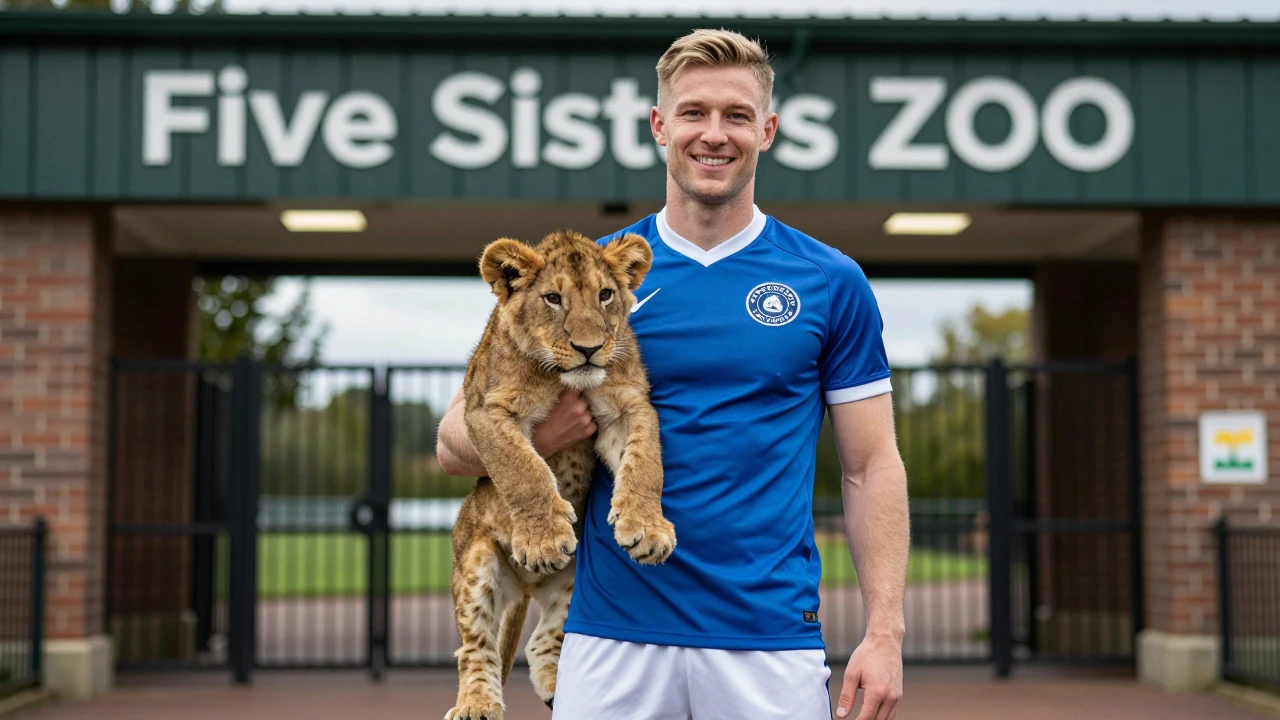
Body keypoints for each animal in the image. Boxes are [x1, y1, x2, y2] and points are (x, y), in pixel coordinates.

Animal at [445, 229, 677, 720]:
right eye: (553, 299)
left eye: (605, 295)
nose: (589, 349)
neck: (563, 379)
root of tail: (527, 587)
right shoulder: (485, 410)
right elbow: (522, 469)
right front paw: (544, 540)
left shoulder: (629, 405)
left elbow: (645, 464)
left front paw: (648, 528)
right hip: (474, 565)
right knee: (476, 648)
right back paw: (476, 701)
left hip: (577, 579)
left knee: (542, 640)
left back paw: (558, 685)